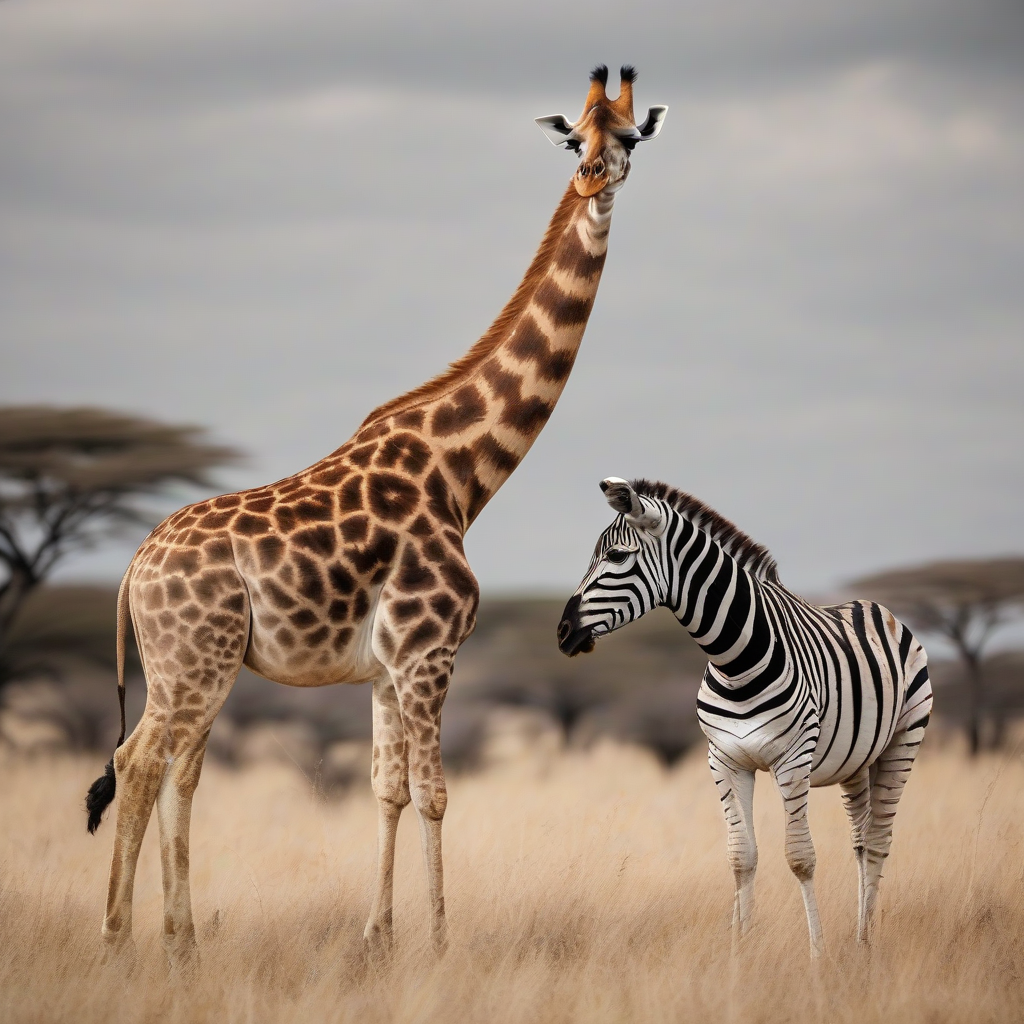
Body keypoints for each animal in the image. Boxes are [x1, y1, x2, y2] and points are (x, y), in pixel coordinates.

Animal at [85, 65, 666, 971]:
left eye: (631, 134)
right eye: (574, 137)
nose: (594, 177)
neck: (462, 470)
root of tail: (132, 570)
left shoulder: (388, 667)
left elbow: (386, 789)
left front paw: (378, 938)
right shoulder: (431, 652)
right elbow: (435, 793)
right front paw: (440, 942)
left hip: (186, 666)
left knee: (167, 766)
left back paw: (181, 941)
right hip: (194, 664)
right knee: (141, 761)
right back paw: (119, 941)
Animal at [556, 477, 933, 957]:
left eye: (617, 557)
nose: (563, 633)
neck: (735, 661)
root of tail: (870, 604)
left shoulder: (793, 759)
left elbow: (799, 857)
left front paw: (817, 955)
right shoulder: (725, 759)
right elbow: (742, 856)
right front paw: (740, 949)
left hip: (903, 741)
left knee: (880, 841)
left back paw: (865, 944)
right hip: (856, 761)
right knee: (862, 839)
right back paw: (859, 938)